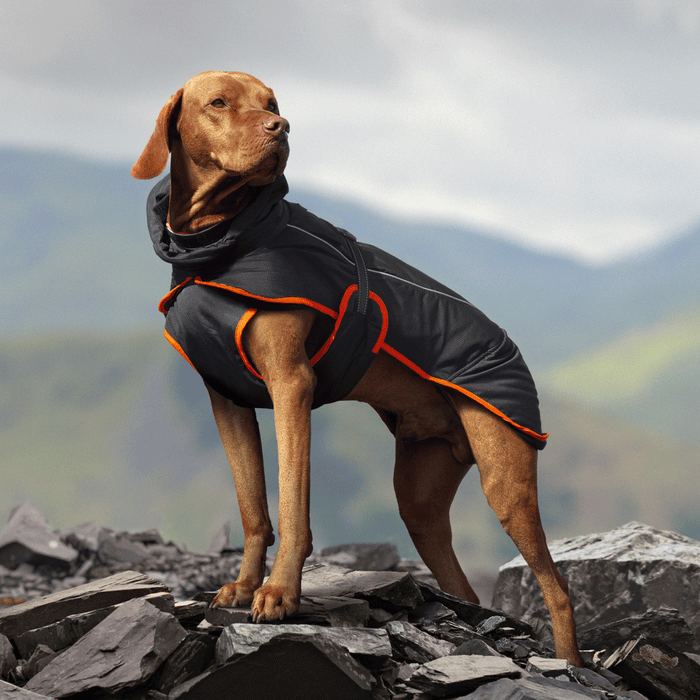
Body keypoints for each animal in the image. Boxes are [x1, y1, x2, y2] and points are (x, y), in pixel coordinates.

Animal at [130, 71, 580, 668]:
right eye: (219, 102)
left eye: (272, 103)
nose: (281, 127)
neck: (222, 243)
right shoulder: (226, 399)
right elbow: (253, 508)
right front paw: (245, 586)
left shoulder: (291, 386)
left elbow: (292, 504)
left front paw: (279, 594)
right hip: (419, 498)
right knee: (463, 586)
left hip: (506, 477)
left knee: (557, 586)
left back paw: (569, 664)